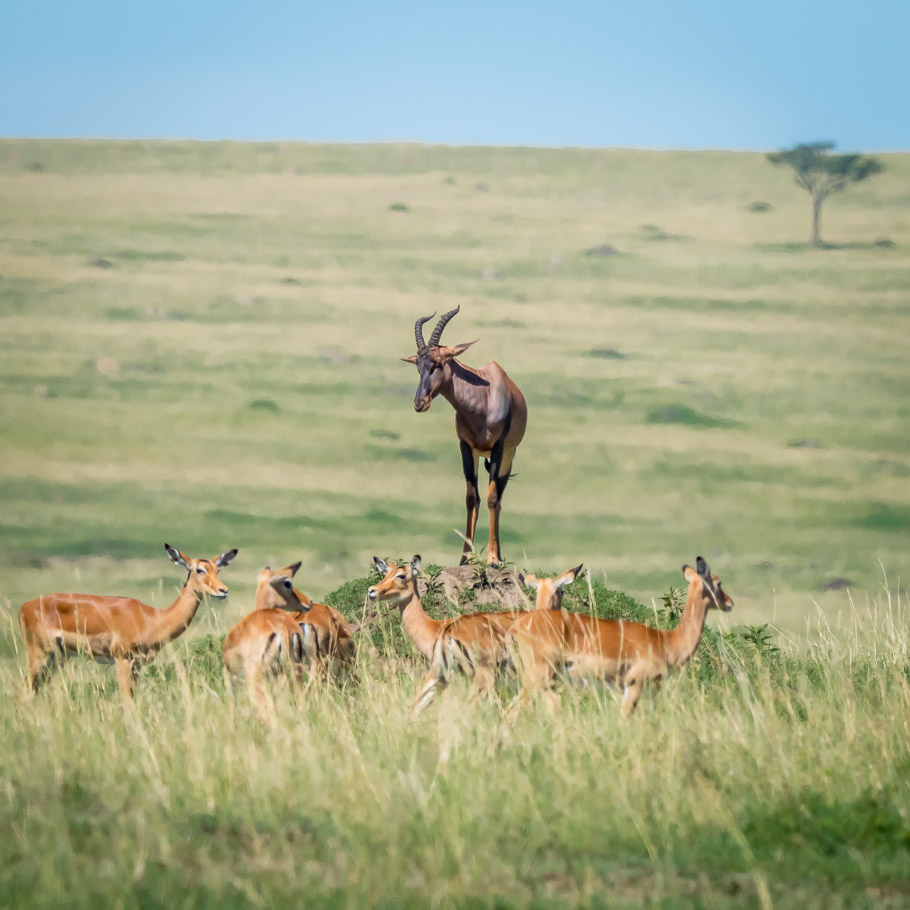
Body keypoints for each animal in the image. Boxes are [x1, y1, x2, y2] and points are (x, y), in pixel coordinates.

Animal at [18, 543, 237, 702]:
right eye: (199, 570)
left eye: (218, 569)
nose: (223, 590)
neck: (152, 618)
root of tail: (24, 607)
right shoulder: (123, 660)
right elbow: (127, 702)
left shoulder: (137, 665)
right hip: (39, 654)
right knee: (23, 692)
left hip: (56, 658)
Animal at [367, 556, 580, 715]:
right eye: (385, 573)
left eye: (401, 575)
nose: (372, 591)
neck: (434, 627)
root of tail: (448, 634)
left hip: (442, 678)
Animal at [402, 306, 527, 565]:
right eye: (418, 365)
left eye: (438, 363)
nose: (419, 403)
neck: (484, 396)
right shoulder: (465, 446)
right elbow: (472, 498)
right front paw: (465, 558)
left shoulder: (499, 447)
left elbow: (491, 498)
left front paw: (492, 558)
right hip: (481, 454)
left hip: (508, 457)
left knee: (499, 497)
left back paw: (499, 557)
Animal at [508, 557, 734, 717]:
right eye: (718, 583)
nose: (730, 602)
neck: (666, 640)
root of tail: (516, 627)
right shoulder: (634, 685)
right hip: (539, 677)